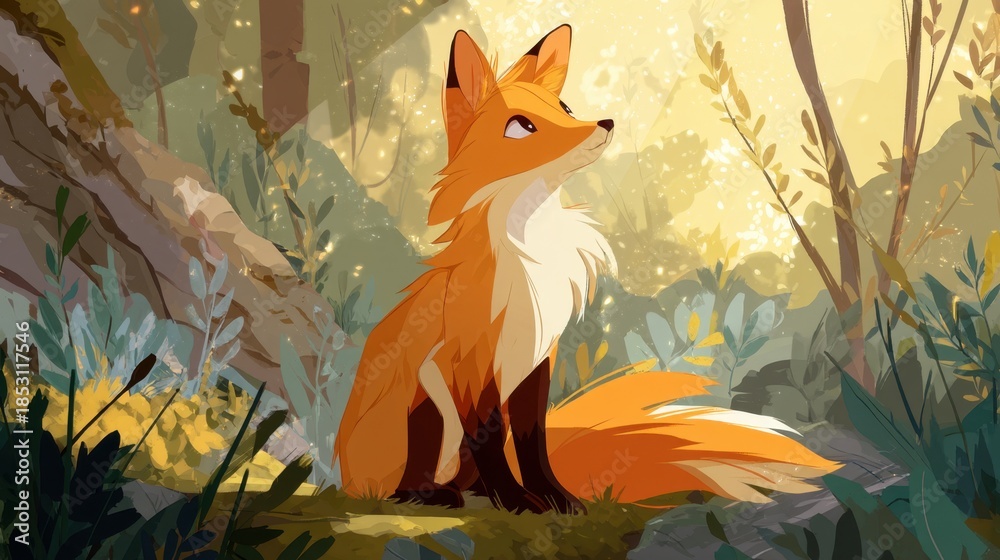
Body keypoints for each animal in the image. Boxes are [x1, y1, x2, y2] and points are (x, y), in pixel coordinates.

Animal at [334, 24, 839, 514]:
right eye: (520, 127)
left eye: (565, 106)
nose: (605, 123)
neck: (532, 252)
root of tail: (345, 474)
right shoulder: (468, 369)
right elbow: (492, 441)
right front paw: (518, 502)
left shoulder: (535, 362)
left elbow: (532, 443)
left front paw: (555, 499)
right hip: (424, 404)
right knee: (407, 485)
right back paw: (432, 495)